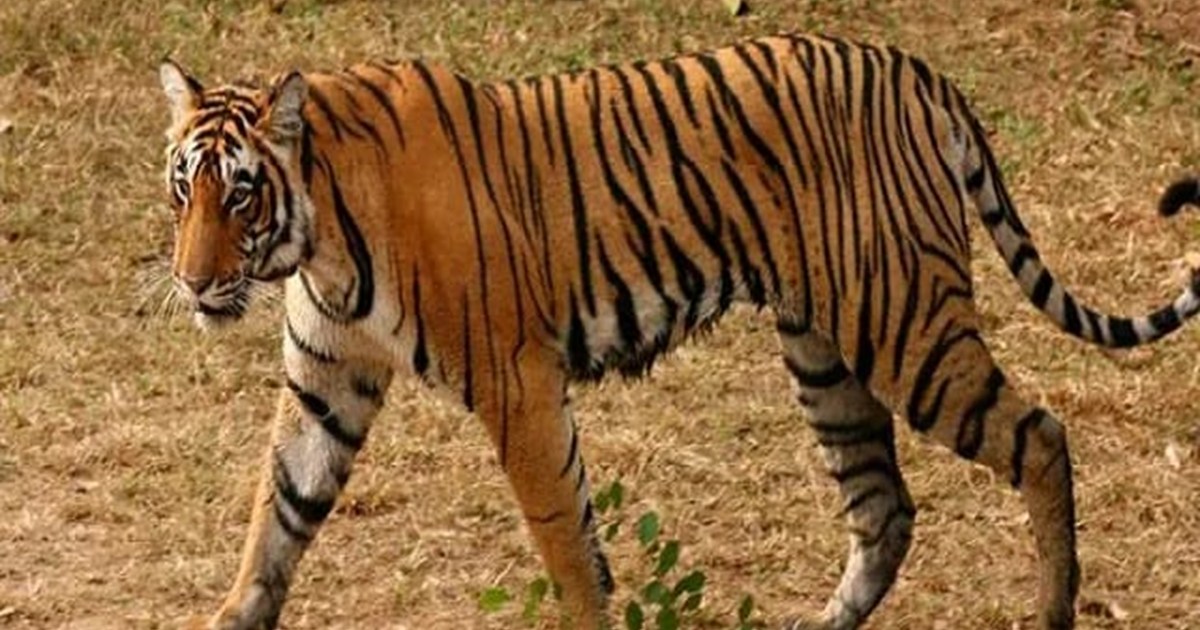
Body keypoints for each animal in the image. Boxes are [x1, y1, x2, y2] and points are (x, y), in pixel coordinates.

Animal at [157, 33, 1200, 630]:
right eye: (183, 187)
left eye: (240, 193)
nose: (193, 281)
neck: (319, 237)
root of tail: (917, 71)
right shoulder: (324, 383)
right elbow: (276, 519)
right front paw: (234, 614)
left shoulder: (517, 382)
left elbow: (565, 540)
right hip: (826, 352)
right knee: (884, 508)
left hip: (904, 325)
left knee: (1040, 438)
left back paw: (1052, 611)